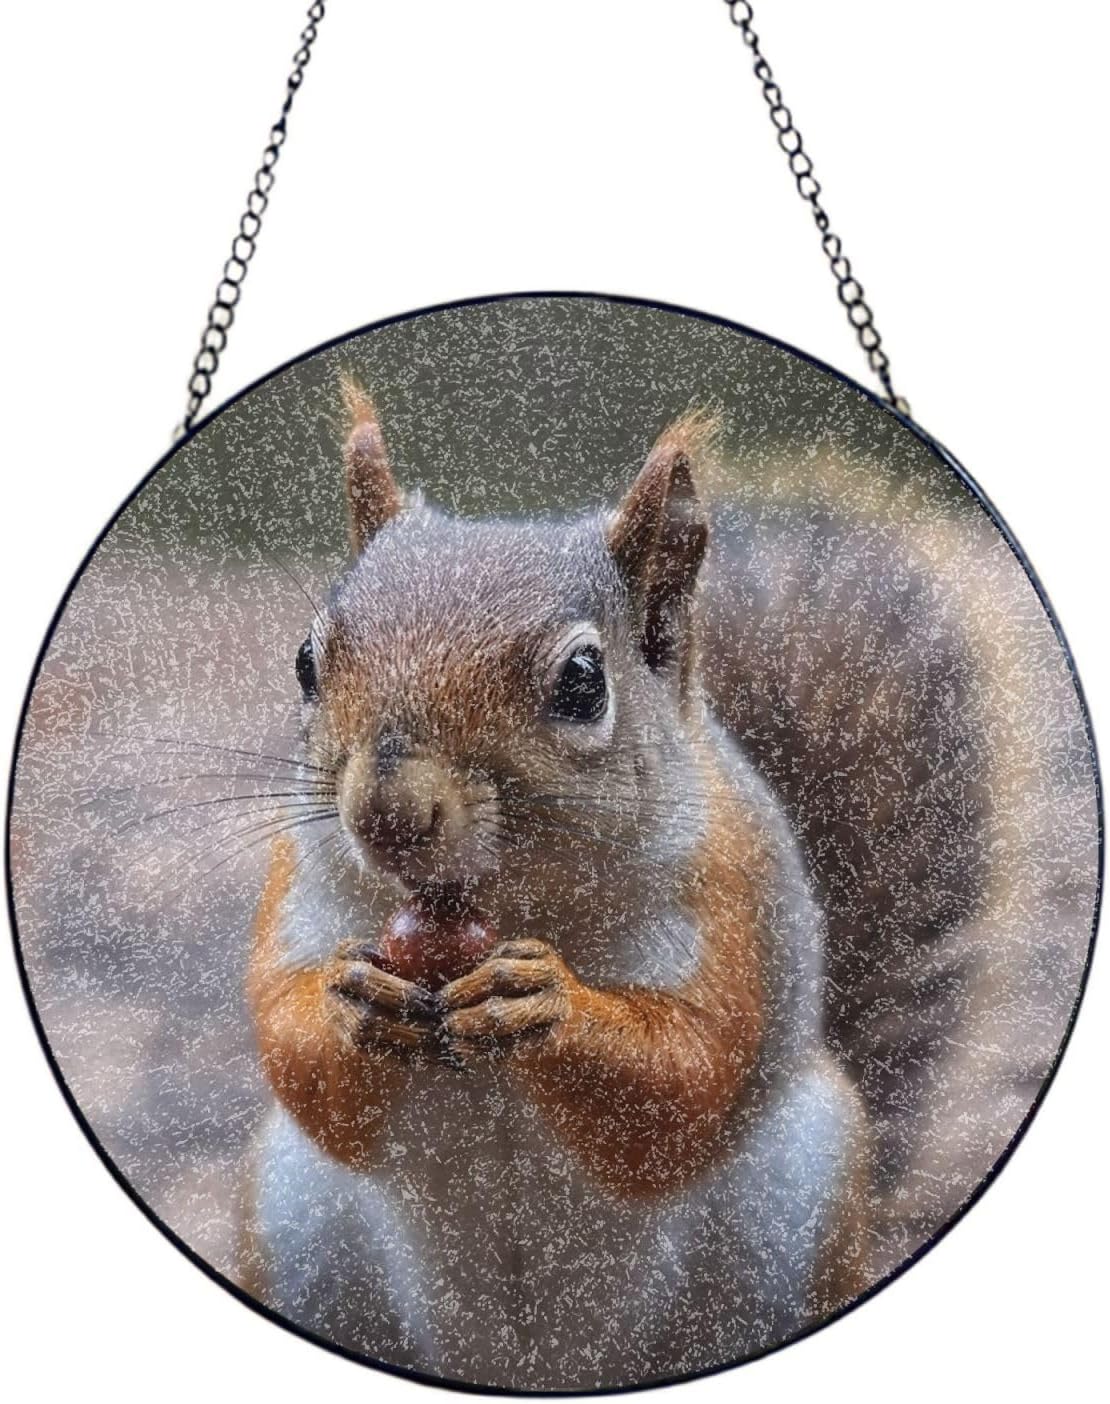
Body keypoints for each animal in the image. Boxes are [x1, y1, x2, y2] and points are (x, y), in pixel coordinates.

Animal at [240, 378, 871, 1390]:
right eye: (305, 660)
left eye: (583, 681)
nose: (386, 815)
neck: (511, 902)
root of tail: (532, 1370)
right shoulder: (301, 881)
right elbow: (288, 1038)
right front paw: (352, 1003)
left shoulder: (726, 891)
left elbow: (688, 1075)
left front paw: (540, 1002)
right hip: (296, 1221)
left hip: (798, 1214)